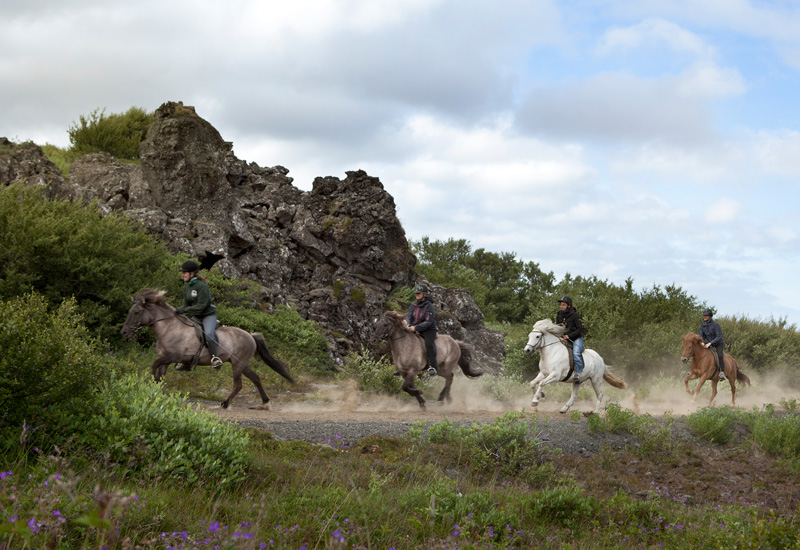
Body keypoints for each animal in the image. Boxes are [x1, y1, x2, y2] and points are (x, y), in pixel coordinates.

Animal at [119, 288, 294, 410]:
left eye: (136, 312)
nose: (124, 332)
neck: (169, 328)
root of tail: (250, 335)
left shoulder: (173, 357)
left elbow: (154, 365)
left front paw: (152, 383)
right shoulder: (166, 359)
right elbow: (160, 375)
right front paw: (155, 391)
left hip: (238, 364)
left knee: (238, 385)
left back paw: (225, 404)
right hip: (241, 363)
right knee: (256, 378)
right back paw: (265, 403)